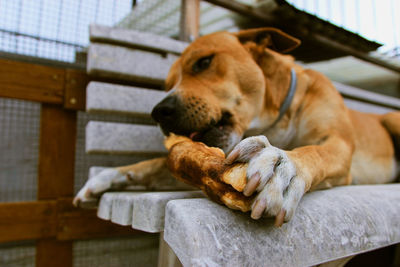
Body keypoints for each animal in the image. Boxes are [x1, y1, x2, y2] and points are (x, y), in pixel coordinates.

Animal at [75, 27, 400, 224]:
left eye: (204, 62)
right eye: (168, 85)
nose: (159, 112)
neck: (275, 119)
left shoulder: (338, 145)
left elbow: (313, 152)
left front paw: (285, 167)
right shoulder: (218, 153)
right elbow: (158, 163)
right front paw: (107, 177)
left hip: (392, 119)